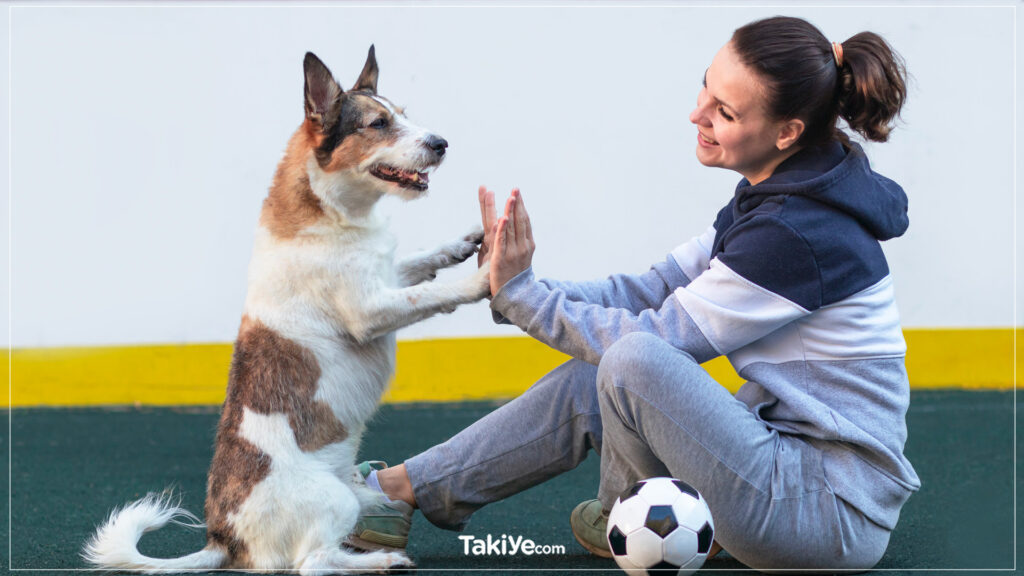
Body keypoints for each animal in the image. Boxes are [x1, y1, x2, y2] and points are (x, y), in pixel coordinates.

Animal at [81, 47, 489, 569]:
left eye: (403, 113)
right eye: (378, 124)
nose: (440, 144)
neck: (334, 211)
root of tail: (223, 538)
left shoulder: (388, 277)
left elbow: (422, 262)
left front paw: (465, 243)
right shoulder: (371, 310)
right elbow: (435, 295)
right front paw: (485, 277)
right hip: (334, 503)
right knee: (313, 563)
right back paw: (380, 561)